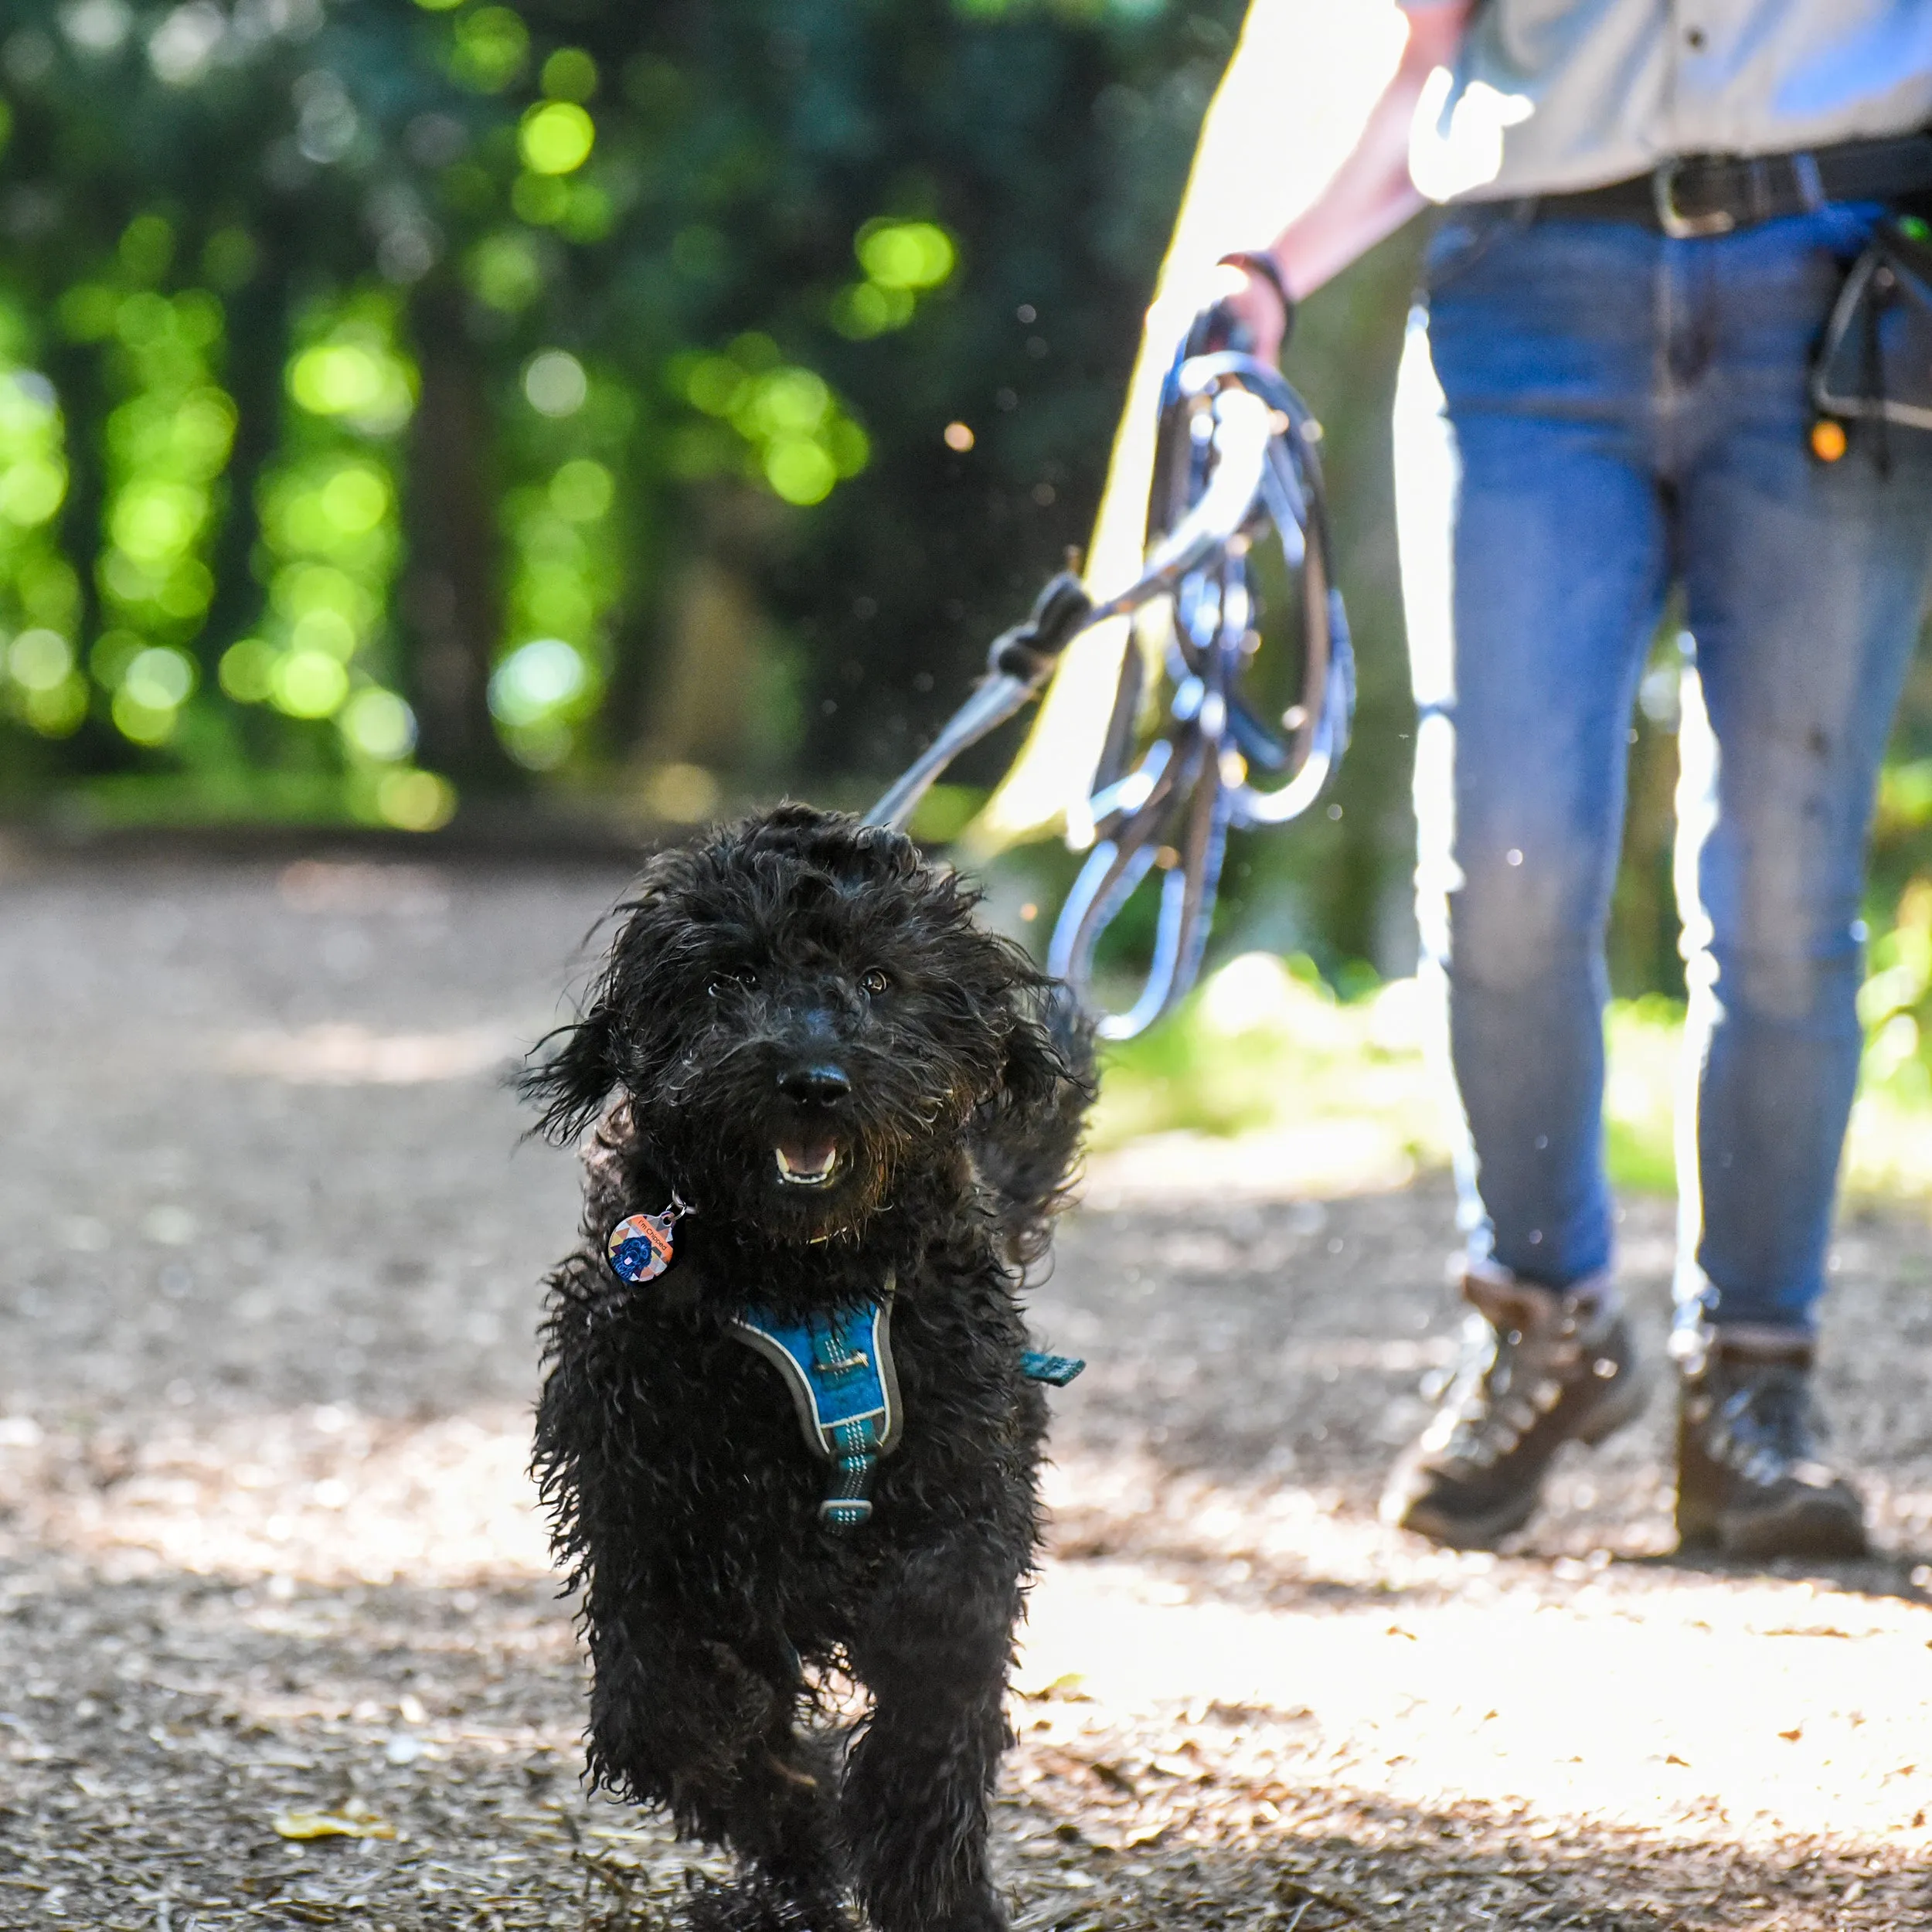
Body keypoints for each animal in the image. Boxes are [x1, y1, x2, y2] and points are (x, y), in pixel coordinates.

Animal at [529, 804, 1097, 1932]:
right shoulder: (638, 1496)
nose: (814, 1082)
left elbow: (947, 1619)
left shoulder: (974, 1456)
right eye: (733, 978)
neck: (807, 1280)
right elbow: (663, 1708)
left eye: (878, 979)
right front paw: (762, 1766)